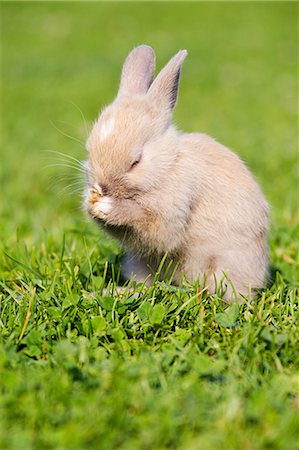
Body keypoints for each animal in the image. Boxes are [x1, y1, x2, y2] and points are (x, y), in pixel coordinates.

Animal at [84, 44, 270, 302]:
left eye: (136, 162)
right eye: (88, 150)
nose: (102, 187)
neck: (167, 165)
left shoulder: (175, 205)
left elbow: (155, 228)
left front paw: (107, 207)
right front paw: (91, 203)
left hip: (228, 265)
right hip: (139, 264)